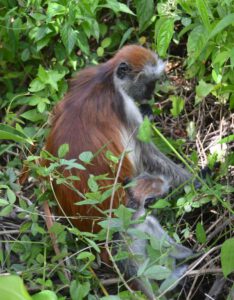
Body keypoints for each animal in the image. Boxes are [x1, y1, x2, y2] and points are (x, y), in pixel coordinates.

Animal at [44, 45, 191, 232]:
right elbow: (147, 154)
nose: (150, 95)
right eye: (149, 82)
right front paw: (199, 179)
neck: (108, 79)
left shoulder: (85, 74)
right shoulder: (125, 104)